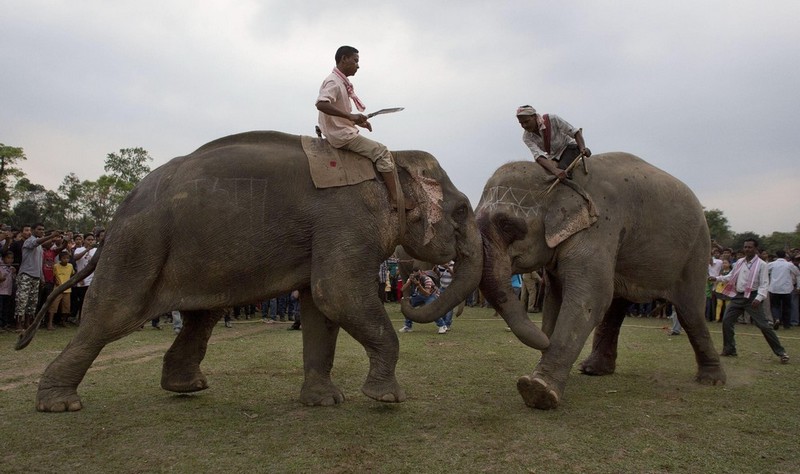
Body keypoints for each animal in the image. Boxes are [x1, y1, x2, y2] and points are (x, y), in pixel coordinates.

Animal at [20, 131, 482, 412]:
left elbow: (321, 308)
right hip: (140, 246)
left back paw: (187, 388)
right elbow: (337, 294)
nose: (411, 285)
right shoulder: (346, 222)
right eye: (461, 210)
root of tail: (120, 210)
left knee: (202, 317)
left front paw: (324, 402)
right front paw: (387, 399)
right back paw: (58, 405)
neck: (390, 165)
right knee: (110, 318)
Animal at [476, 153, 724, 412]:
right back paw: (592, 370)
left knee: (689, 312)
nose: (544, 342)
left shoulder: (600, 227)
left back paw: (711, 380)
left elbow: (588, 299)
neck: (560, 181)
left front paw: (537, 390)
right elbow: (557, 299)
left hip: (696, 252)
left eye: (506, 225)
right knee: (615, 307)